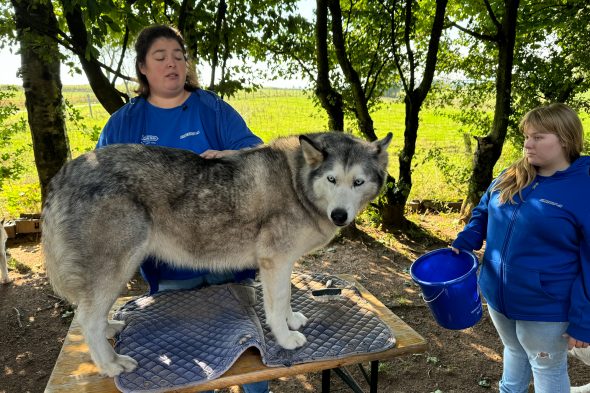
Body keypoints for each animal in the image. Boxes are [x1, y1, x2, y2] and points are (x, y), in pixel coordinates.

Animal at [41, 131, 394, 374]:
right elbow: (276, 305)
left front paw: (292, 320)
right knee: (86, 320)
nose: (339, 215)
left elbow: (286, 300)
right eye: (332, 179)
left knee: (95, 316)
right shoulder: (274, 261)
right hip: (118, 267)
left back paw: (111, 329)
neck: (298, 184)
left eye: (358, 181)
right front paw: (285, 338)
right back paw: (111, 364)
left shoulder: (284, 263)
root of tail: (64, 173)